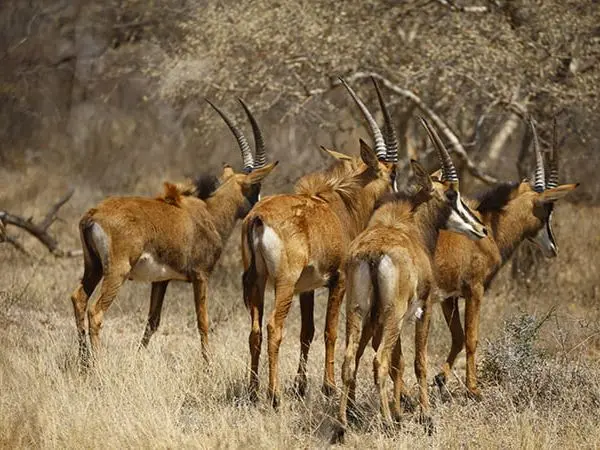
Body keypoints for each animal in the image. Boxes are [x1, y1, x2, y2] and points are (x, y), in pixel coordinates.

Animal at [71, 100, 278, 364]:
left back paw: (84, 361)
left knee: (79, 298)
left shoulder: (162, 280)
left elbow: (153, 321)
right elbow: (203, 322)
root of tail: (93, 214)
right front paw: (208, 365)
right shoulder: (201, 275)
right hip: (117, 271)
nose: (258, 209)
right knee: (95, 311)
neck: (209, 212)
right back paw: (97, 365)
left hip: (94, 267)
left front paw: (138, 358)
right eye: (256, 187)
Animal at [241, 79, 400, 406]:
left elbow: (308, 332)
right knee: (274, 327)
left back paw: (252, 391)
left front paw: (302, 386)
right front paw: (329, 387)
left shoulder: (307, 288)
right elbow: (331, 332)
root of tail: (258, 217)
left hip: (257, 281)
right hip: (283, 282)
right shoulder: (338, 280)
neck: (343, 206)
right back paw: (274, 396)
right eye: (393, 174)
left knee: (255, 330)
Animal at [338, 117, 488, 436]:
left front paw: (400, 413)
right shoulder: (425, 308)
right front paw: (425, 417)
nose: (481, 228)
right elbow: (418, 362)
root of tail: (374, 252)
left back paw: (342, 425)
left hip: (358, 311)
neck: (409, 225)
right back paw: (385, 423)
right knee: (379, 361)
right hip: (392, 314)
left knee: (350, 360)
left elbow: (401, 362)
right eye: (452, 195)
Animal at [434, 118, 580, 398]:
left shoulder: (449, 296)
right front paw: (473, 389)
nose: (553, 248)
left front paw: (439, 379)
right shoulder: (474, 290)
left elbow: (457, 337)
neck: (487, 230)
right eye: (547, 210)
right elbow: (471, 337)